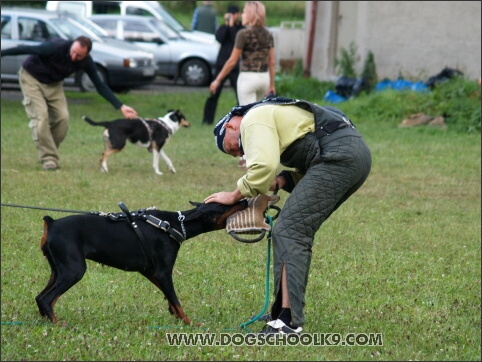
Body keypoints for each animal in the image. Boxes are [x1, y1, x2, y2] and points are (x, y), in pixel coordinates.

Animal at [36, 201, 249, 326]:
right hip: (74, 270)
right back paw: (57, 324)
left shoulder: (149, 270)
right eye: (223, 207)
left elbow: (169, 297)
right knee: (47, 299)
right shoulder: (163, 272)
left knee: (40, 298)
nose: (244, 200)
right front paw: (189, 323)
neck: (175, 224)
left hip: (58, 269)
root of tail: (51, 223)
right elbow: (176, 300)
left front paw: (174, 315)